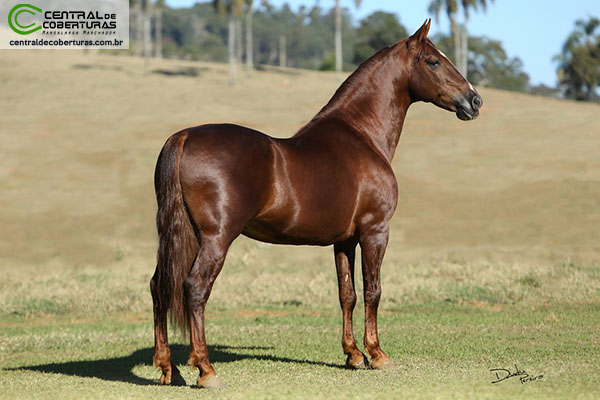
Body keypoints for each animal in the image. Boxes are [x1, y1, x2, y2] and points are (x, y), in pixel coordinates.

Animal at [151, 20, 482, 390]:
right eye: (434, 61)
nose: (474, 100)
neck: (361, 137)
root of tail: (184, 137)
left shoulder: (344, 240)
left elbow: (347, 294)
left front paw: (353, 355)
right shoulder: (375, 231)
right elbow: (373, 290)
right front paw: (377, 355)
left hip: (181, 235)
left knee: (159, 287)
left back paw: (168, 368)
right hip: (216, 238)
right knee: (195, 288)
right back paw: (206, 370)